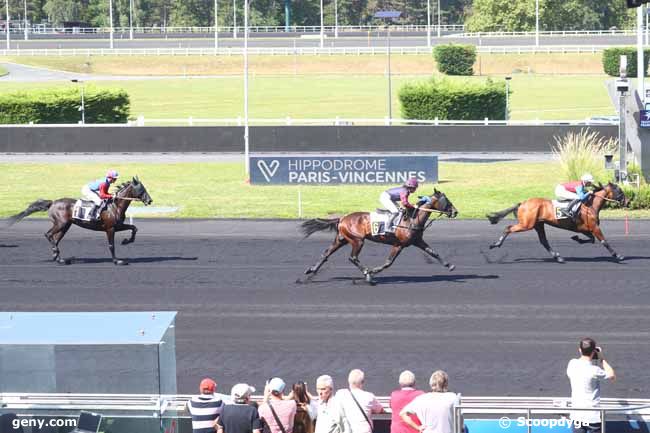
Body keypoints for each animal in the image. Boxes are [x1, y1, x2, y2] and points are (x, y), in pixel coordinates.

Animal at [6, 175, 153, 264]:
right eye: (141, 189)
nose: (150, 200)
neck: (115, 205)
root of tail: (52, 202)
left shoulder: (117, 226)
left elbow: (134, 228)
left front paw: (126, 241)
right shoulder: (110, 228)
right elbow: (111, 245)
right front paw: (117, 261)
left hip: (65, 226)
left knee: (56, 239)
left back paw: (59, 258)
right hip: (61, 223)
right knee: (48, 234)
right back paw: (56, 255)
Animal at [298, 188, 456, 284]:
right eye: (447, 200)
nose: (455, 212)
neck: (412, 219)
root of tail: (342, 218)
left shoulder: (417, 241)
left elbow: (433, 252)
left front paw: (450, 265)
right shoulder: (399, 244)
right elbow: (388, 262)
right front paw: (373, 271)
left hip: (342, 239)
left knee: (326, 253)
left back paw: (311, 269)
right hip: (357, 240)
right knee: (352, 257)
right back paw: (368, 275)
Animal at [484, 181, 624, 262]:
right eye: (619, 191)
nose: (626, 201)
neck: (590, 205)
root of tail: (523, 203)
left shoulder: (585, 229)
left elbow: (591, 239)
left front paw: (576, 238)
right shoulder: (594, 227)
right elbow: (604, 241)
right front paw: (618, 256)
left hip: (538, 225)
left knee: (544, 241)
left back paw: (558, 257)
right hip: (526, 224)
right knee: (508, 228)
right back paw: (496, 244)